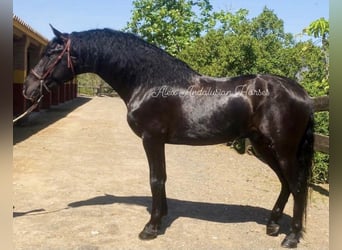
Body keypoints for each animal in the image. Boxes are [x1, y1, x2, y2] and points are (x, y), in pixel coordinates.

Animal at [22, 25, 314, 248]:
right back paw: (273, 225)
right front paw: (160, 217)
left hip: (283, 149)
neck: (150, 82)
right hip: (263, 146)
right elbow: (160, 179)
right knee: (285, 183)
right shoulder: (157, 141)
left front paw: (150, 228)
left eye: (51, 53)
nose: (28, 89)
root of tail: (300, 91)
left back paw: (291, 236)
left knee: (298, 186)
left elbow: (155, 179)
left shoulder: (151, 139)